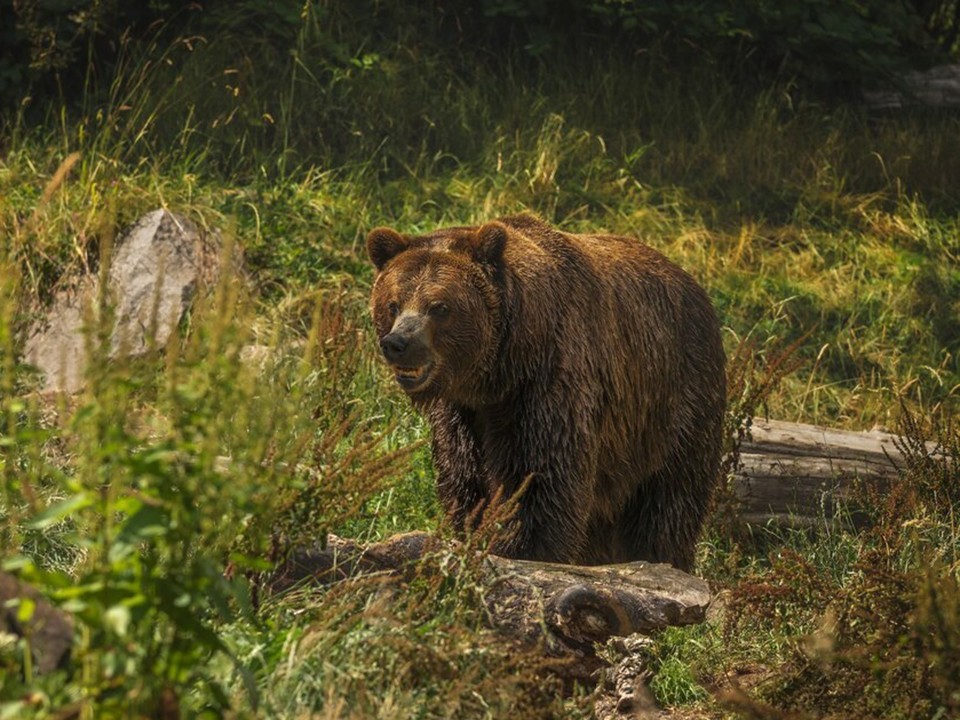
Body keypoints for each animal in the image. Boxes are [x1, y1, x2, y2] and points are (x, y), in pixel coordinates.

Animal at [364, 211, 724, 572]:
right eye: (393, 304)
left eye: (439, 307)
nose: (398, 343)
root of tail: (697, 287)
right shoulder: (462, 412)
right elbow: (464, 478)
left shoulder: (547, 385)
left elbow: (539, 479)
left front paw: (519, 548)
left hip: (674, 405)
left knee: (668, 502)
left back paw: (661, 557)